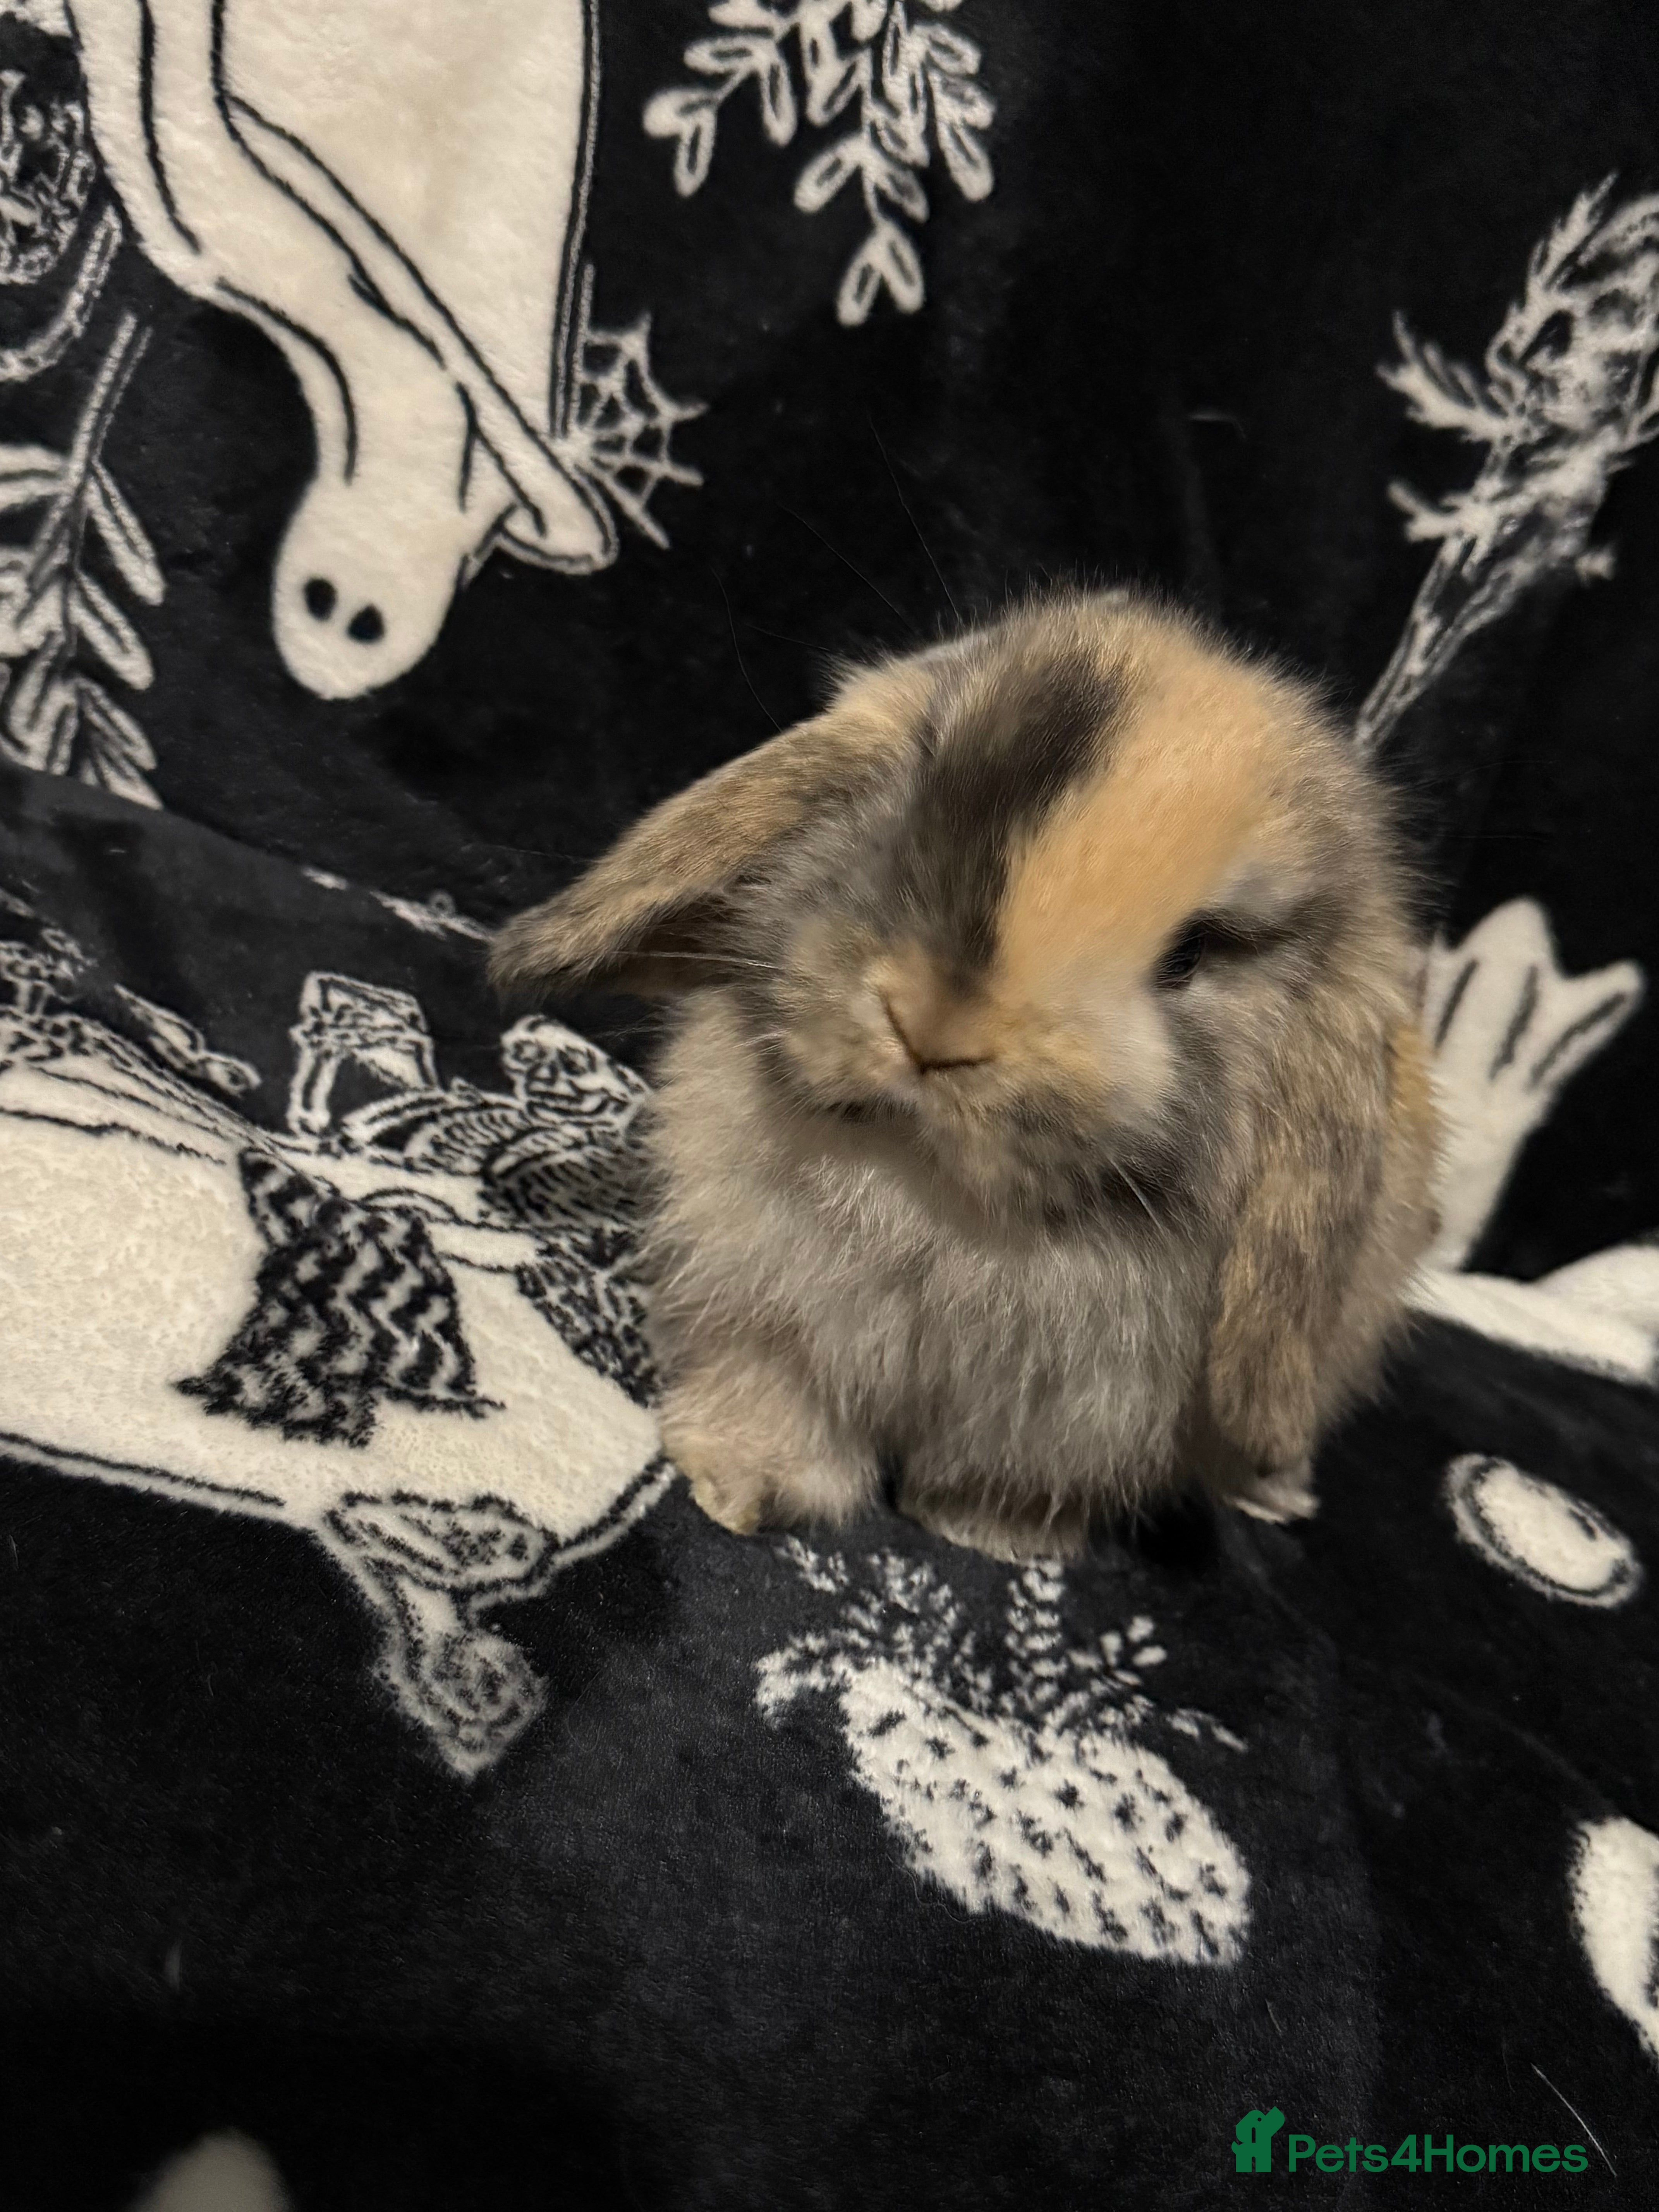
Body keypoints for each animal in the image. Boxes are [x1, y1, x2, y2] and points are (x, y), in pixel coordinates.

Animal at [491, 589, 1441, 1560]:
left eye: (1192, 954)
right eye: (928, 778)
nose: (933, 1028)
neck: (922, 1185)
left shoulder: (1066, 1417)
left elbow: (1007, 1480)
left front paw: (989, 1536)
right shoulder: (769, 1323)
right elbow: (777, 1402)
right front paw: (736, 1486)